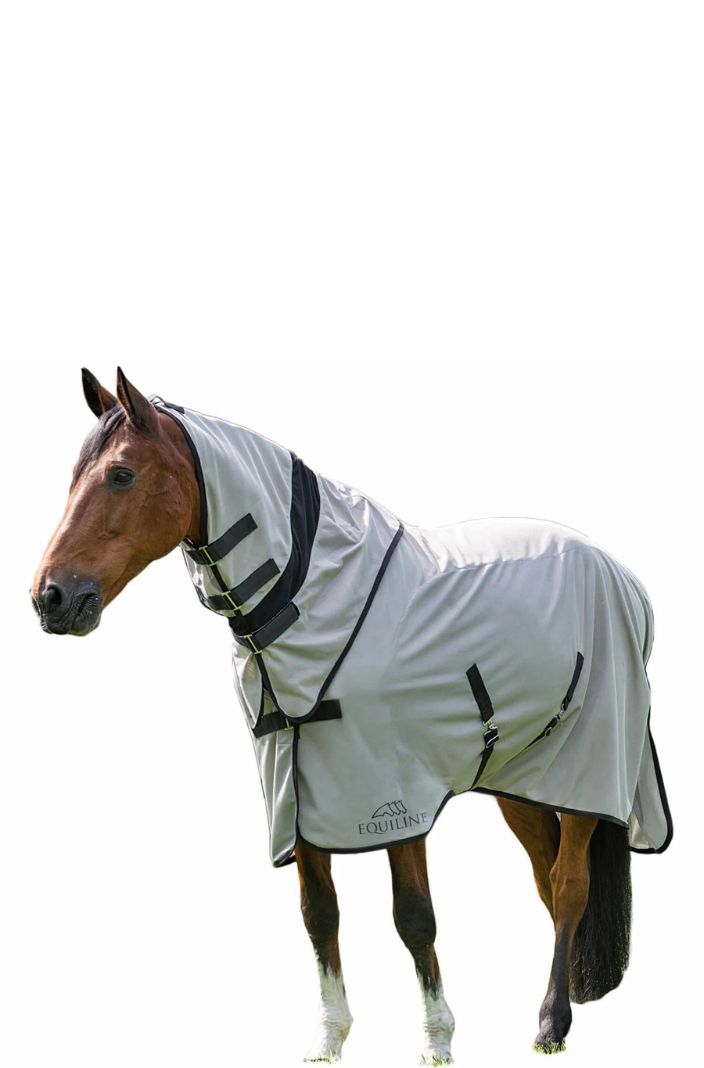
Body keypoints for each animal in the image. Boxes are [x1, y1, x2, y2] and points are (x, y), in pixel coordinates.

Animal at [31, 368, 671, 1062]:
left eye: (120, 474)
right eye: (74, 474)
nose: (51, 597)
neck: (307, 597)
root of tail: (620, 575)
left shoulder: (397, 793)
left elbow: (414, 917)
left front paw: (438, 1041)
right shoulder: (299, 791)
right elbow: (320, 914)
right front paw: (330, 1039)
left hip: (588, 769)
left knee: (571, 883)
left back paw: (551, 1023)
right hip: (521, 779)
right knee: (547, 882)